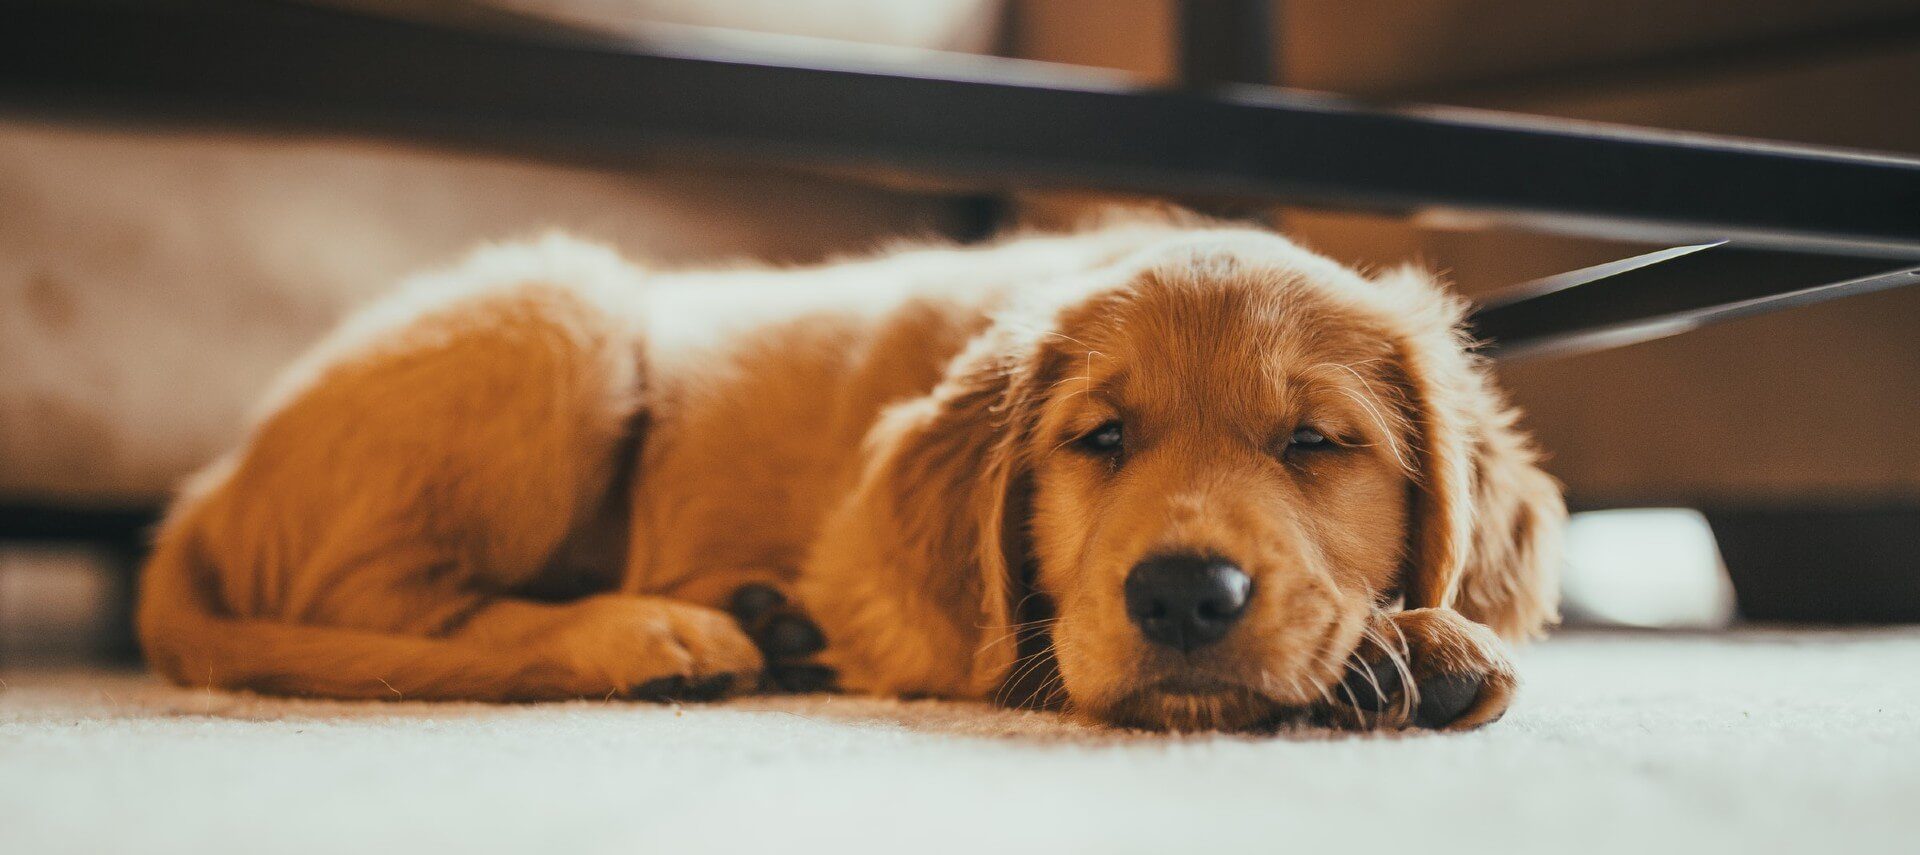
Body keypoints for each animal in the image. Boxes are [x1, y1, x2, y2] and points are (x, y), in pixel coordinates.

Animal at [145, 211, 1559, 726]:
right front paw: (1406, 645)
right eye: (1098, 439)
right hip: (562, 311)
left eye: (1315, 444)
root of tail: (204, 493)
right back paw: (661, 634)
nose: (1181, 598)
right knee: (392, 615)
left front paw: (1424, 637)